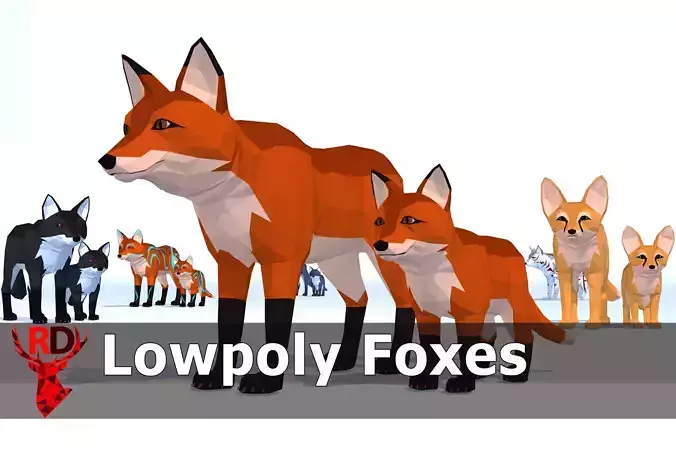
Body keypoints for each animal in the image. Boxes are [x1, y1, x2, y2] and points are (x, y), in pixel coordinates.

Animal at [98, 38, 421, 394]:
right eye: (126, 127)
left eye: (163, 124)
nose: (106, 160)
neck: (232, 197)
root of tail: (387, 165)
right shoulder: (231, 260)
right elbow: (228, 325)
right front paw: (217, 376)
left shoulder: (281, 260)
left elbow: (276, 323)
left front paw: (266, 381)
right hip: (337, 263)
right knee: (358, 300)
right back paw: (343, 361)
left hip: (384, 261)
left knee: (406, 304)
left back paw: (393, 363)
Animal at [370, 165, 573, 393]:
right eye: (379, 222)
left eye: (409, 220)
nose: (379, 245)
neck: (431, 275)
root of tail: (513, 249)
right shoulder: (426, 314)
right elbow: (430, 351)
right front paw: (427, 380)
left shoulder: (468, 314)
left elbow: (466, 350)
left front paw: (463, 383)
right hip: (488, 315)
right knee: (490, 338)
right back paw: (481, 373)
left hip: (512, 314)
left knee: (525, 339)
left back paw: (517, 376)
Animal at [540, 176, 620, 328]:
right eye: (561, 219)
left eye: (584, 218)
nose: (571, 230)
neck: (577, 254)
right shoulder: (565, 274)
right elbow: (567, 301)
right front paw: (567, 321)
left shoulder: (595, 273)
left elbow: (595, 301)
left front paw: (594, 322)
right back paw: (575, 319)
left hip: (602, 272)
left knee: (603, 296)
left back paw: (603, 318)